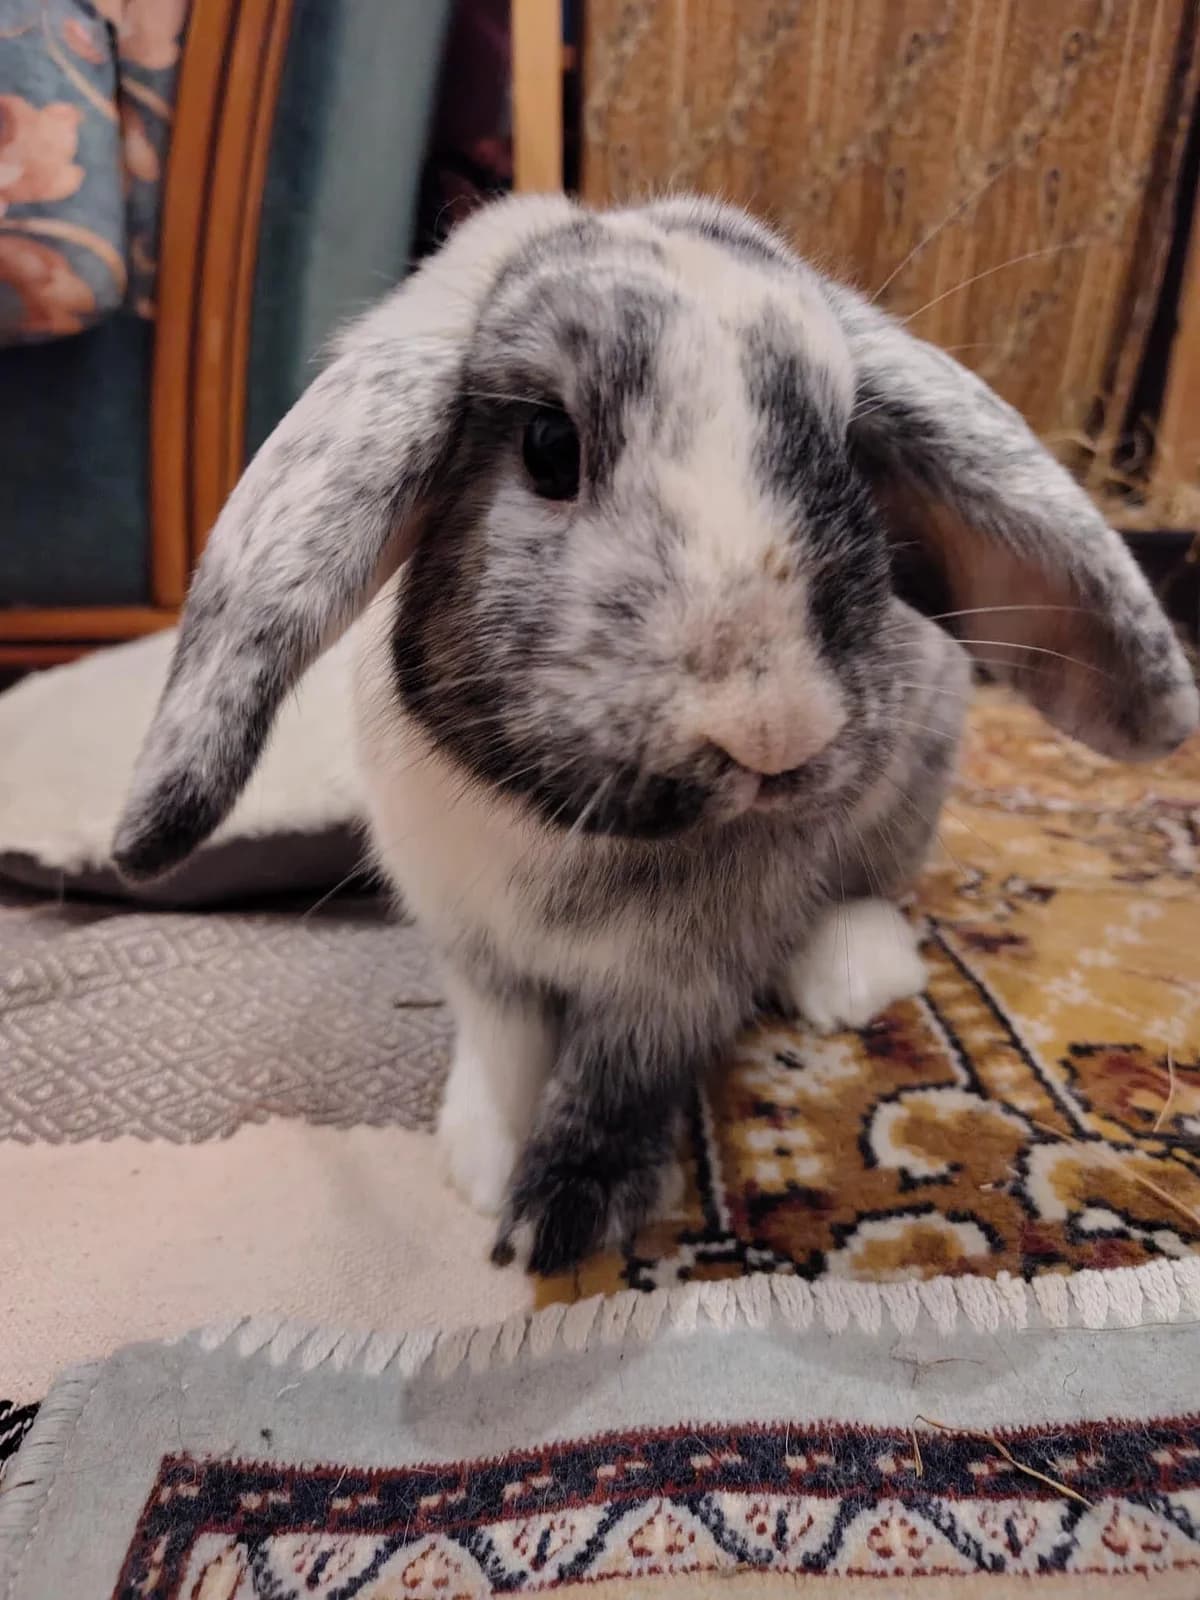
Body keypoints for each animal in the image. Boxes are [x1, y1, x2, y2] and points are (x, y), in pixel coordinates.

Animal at [112, 193, 1198, 1275]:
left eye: (845, 453)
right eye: (549, 444)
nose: (775, 727)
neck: (574, 830)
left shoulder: (685, 971)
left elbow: (623, 1073)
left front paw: (562, 1214)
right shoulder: (471, 942)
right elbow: (503, 1042)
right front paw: (482, 1164)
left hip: (913, 788)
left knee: (871, 892)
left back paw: (850, 978)